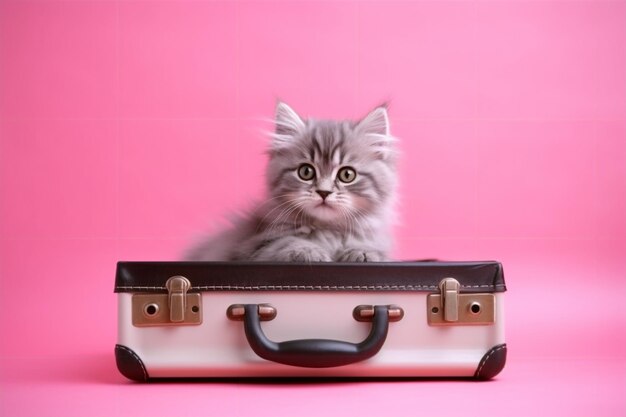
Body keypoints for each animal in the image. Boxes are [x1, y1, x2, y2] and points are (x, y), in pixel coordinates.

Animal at [185, 102, 398, 262]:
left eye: (347, 175)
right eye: (306, 172)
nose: (324, 192)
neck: (327, 231)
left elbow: (372, 248)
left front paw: (362, 251)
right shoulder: (253, 245)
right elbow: (286, 242)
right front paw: (310, 251)